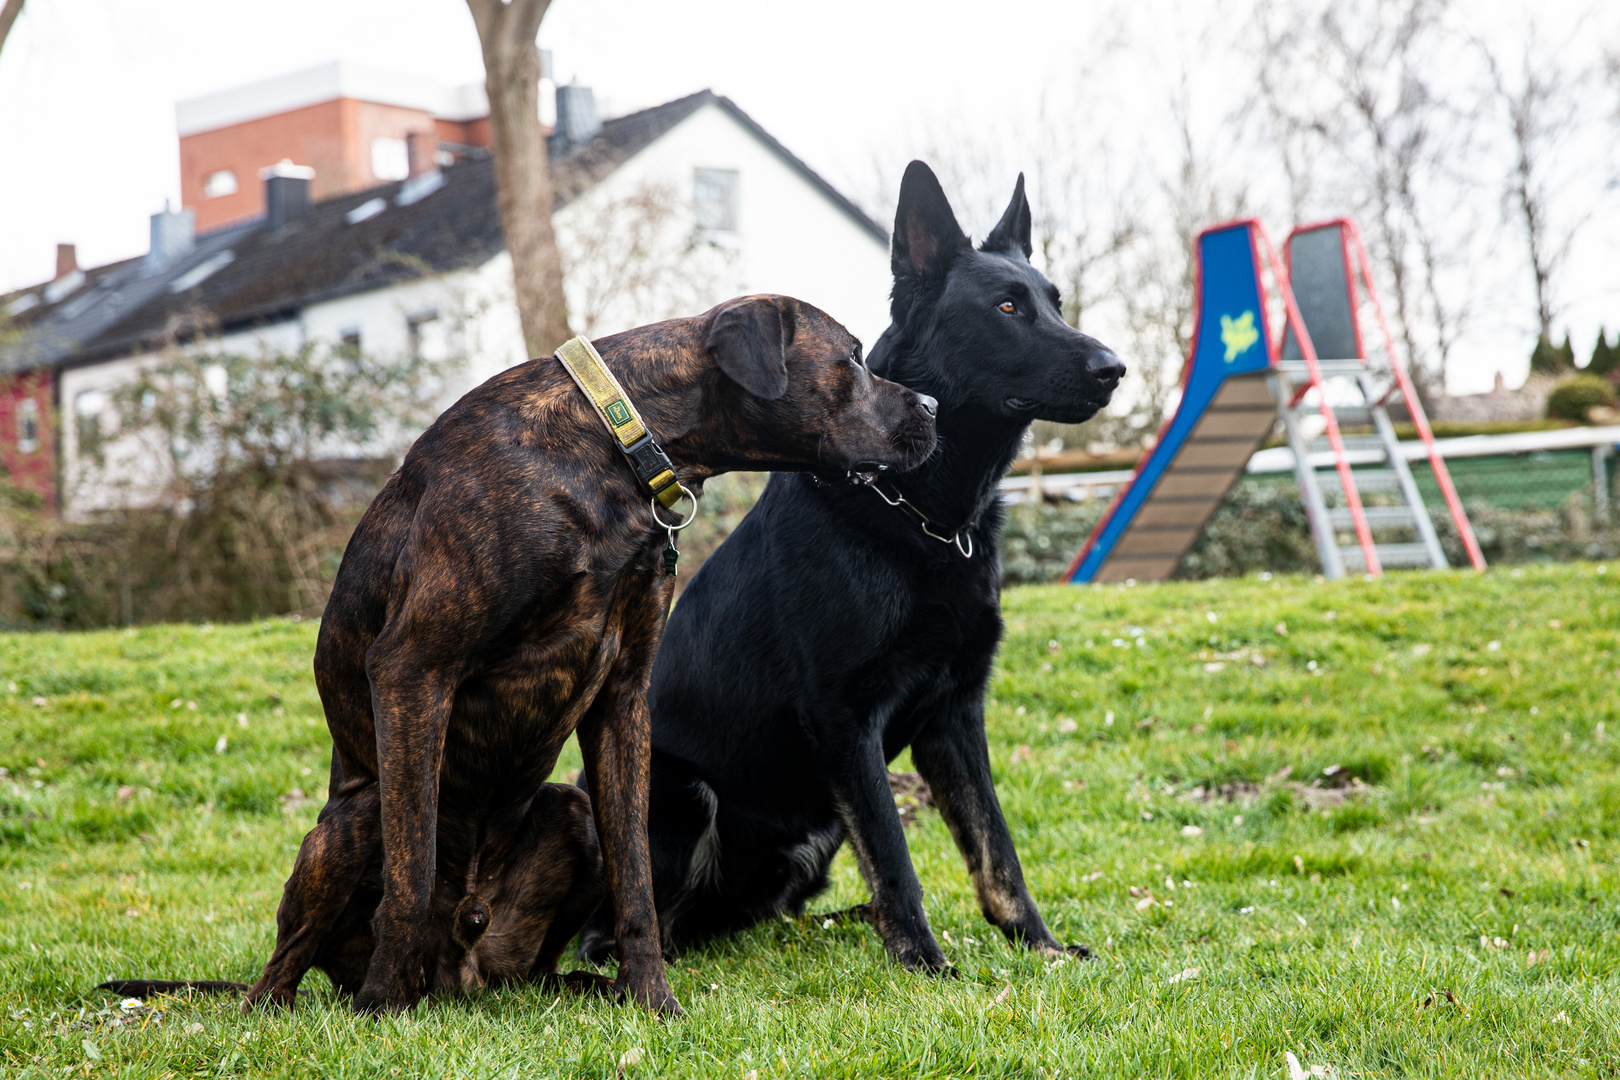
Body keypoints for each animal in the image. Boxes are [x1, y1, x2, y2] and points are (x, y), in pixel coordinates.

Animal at [110, 296, 939, 1016]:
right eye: (853, 359)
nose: (932, 407)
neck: (611, 446)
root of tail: (462, 968)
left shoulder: (623, 698)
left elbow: (637, 879)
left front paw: (654, 999)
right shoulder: (414, 669)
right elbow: (411, 877)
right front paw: (381, 1009)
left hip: (566, 813)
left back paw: (580, 987)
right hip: (353, 821)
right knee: (283, 972)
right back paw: (348, 997)